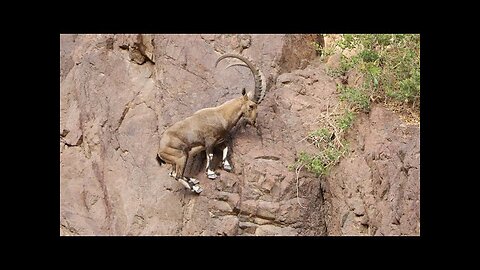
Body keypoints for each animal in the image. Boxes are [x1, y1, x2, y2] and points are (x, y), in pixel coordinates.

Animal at [157, 52, 266, 193]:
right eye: (251, 106)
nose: (254, 122)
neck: (221, 115)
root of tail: (160, 150)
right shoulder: (209, 140)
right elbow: (210, 154)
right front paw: (211, 173)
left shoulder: (219, 140)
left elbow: (226, 147)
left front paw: (226, 165)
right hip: (180, 156)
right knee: (177, 175)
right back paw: (196, 188)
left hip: (178, 159)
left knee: (173, 173)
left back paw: (193, 181)